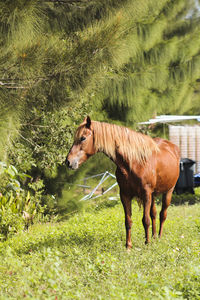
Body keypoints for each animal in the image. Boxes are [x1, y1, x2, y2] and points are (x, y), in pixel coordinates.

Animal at [65, 116, 180, 250]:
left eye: (83, 138)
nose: (68, 162)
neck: (134, 162)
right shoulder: (125, 195)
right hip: (153, 195)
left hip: (168, 191)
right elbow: (128, 221)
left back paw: (159, 237)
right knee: (154, 214)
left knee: (162, 214)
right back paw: (154, 236)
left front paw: (147, 244)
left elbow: (145, 220)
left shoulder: (146, 194)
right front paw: (128, 246)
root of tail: (172, 146)